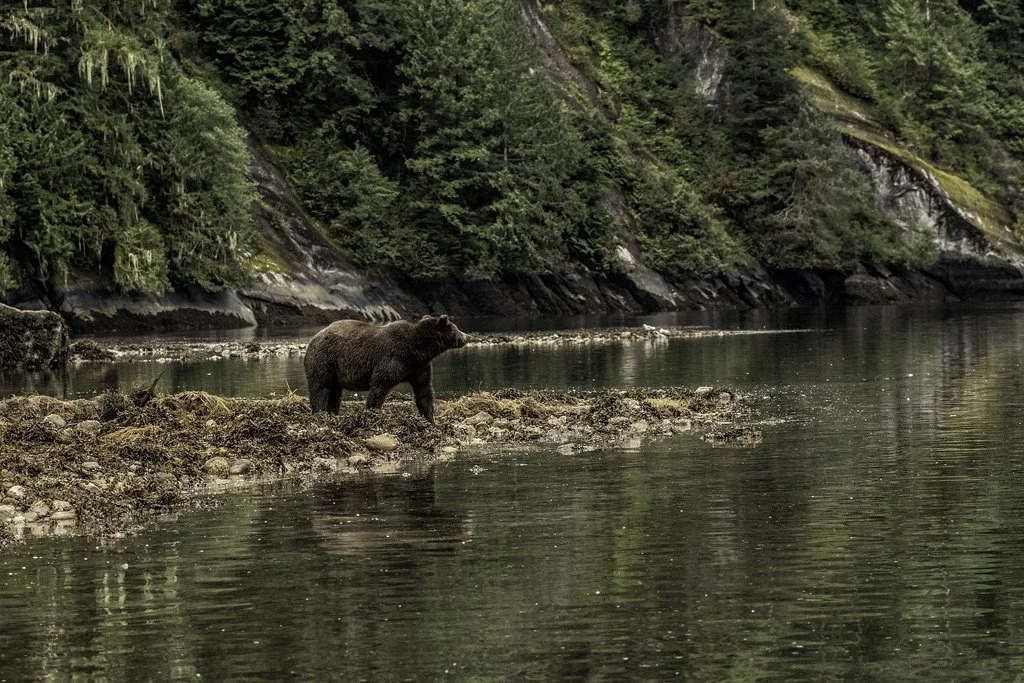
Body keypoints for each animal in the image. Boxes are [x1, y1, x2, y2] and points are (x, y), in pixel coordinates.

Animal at [303, 315, 468, 423]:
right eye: (455, 328)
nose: (467, 337)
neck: (418, 350)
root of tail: (313, 339)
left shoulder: (418, 367)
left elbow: (424, 391)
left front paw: (430, 420)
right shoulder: (392, 357)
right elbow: (380, 385)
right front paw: (372, 412)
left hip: (335, 370)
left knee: (335, 392)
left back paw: (333, 413)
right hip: (325, 359)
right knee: (321, 387)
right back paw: (320, 412)